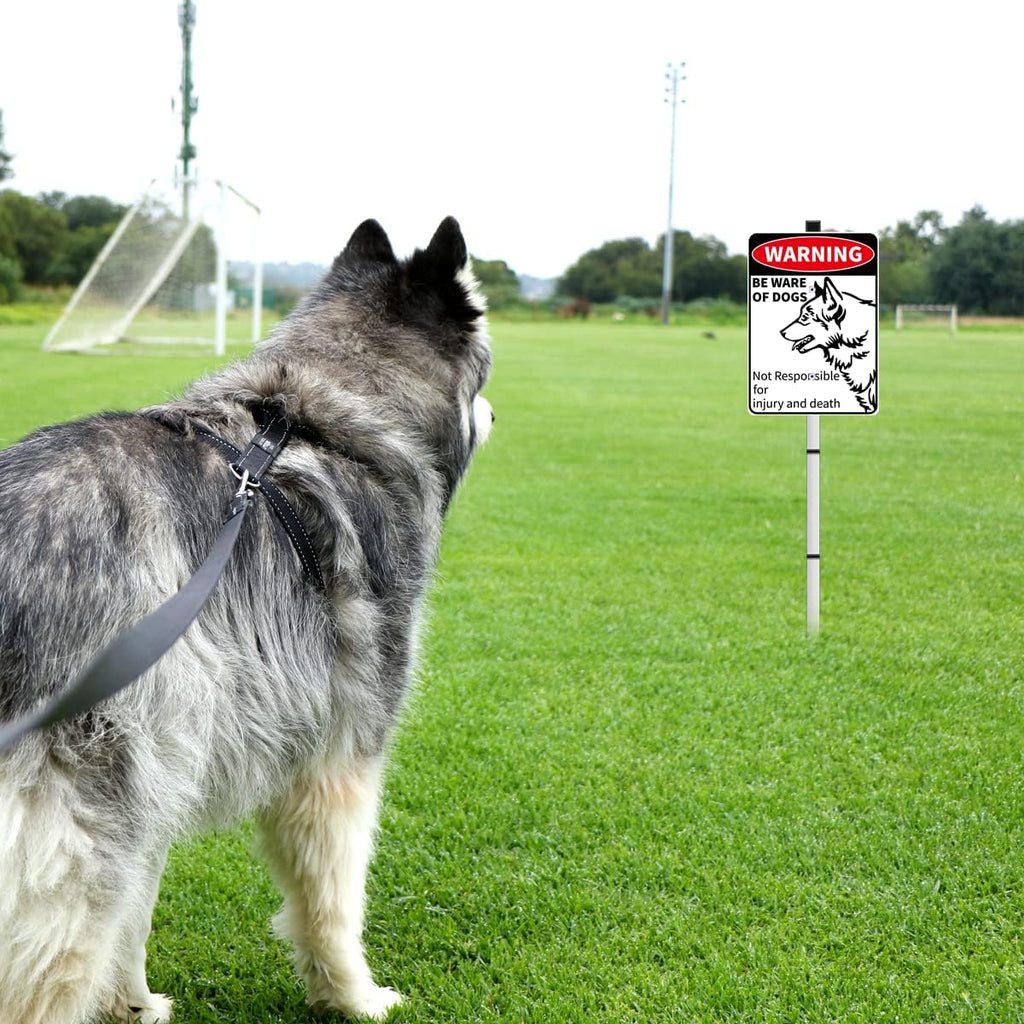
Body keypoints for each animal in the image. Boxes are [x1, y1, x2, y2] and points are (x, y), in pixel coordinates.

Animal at [0, 211, 495, 1019]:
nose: (496, 409)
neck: (324, 416)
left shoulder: (175, 747)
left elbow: (139, 908)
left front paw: (133, 1003)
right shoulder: (339, 753)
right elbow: (332, 900)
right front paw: (353, 996)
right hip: (85, 830)